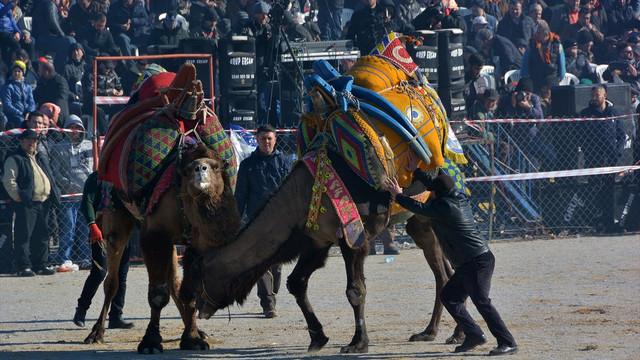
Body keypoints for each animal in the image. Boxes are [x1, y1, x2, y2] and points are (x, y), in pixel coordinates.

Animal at [83, 63, 242, 352]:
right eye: (189, 169)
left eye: (216, 167)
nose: (201, 170)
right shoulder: (155, 234)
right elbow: (157, 294)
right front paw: (150, 341)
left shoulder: (193, 241)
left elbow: (188, 291)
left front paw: (193, 338)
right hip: (116, 218)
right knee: (111, 281)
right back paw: (95, 332)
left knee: (174, 282)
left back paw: (196, 330)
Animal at [192, 150, 462, 354]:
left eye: (202, 275)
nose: (199, 306)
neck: (301, 197)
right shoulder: (317, 242)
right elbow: (296, 283)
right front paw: (317, 338)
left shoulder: (354, 238)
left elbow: (355, 291)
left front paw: (357, 344)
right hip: (422, 220)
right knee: (445, 272)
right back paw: (433, 333)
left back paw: (452, 334)